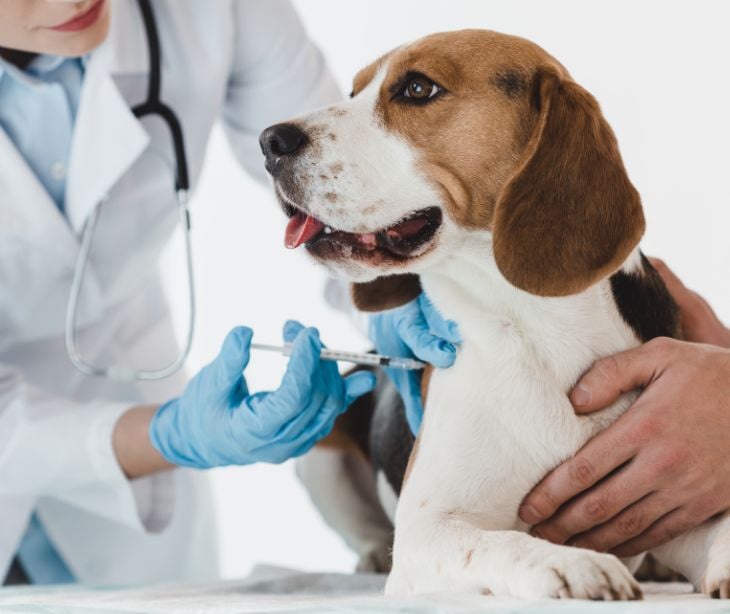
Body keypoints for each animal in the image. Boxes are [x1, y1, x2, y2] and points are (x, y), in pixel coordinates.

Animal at [258, 28, 728, 600]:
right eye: (353, 91)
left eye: (417, 88)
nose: (270, 141)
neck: (536, 331)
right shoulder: (427, 530)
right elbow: (501, 542)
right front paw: (573, 563)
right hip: (319, 449)